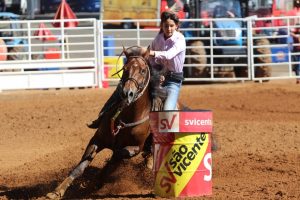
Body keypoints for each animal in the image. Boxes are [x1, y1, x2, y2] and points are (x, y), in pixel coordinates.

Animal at [47, 46, 155, 198]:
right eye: (125, 68)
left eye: (143, 70)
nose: (127, 93)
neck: (127, 117)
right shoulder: (97, 139)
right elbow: (81, 166)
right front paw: (58, 191)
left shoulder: (135, 148)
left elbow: (114, 159)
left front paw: (95, 182)